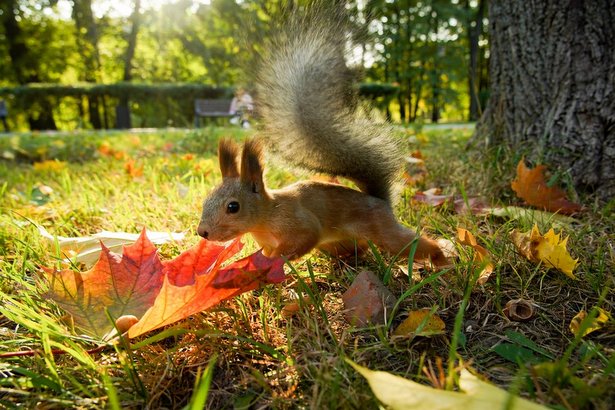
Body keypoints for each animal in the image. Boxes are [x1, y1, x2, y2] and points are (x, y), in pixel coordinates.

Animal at [197, 9, 448, 264]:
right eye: (207, 198)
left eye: (233, 207)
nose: (202, 232)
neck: (265, 218)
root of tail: (380, 202)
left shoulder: (299, 223)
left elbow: (304, 238)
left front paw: (274, 261)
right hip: (337, 244)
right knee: (359, 249)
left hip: (383, 230)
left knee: (410, 243)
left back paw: (441, 260)